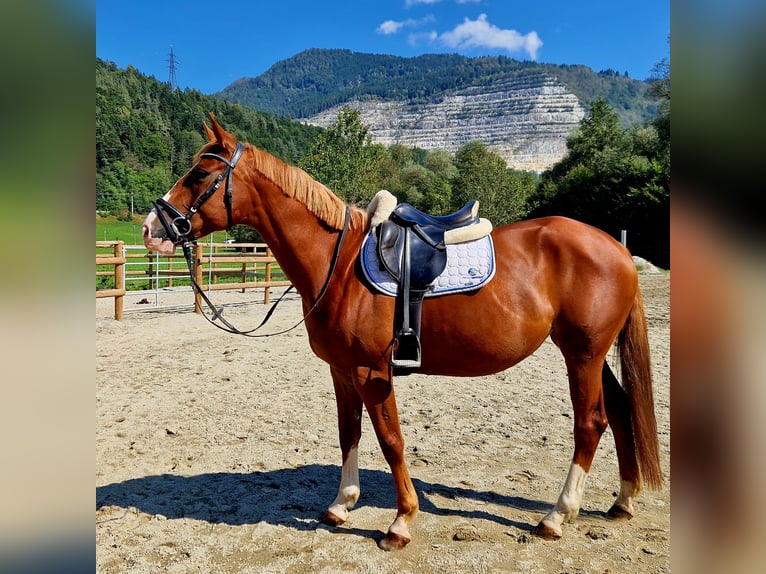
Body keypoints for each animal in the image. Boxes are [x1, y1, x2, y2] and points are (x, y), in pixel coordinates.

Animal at [146, 115, 664, 552]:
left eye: (199, 173)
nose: (153, 227)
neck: (338, 263)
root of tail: (615, 247)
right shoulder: (341, 370)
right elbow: (349, 432)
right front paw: (341, 505)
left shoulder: (372, 372)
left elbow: (391, 439)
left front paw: (400, 522)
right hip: (591, 354)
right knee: (621, 412)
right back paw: (622, 501)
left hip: (582, 354)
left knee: (591, 423)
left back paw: (557, 516)